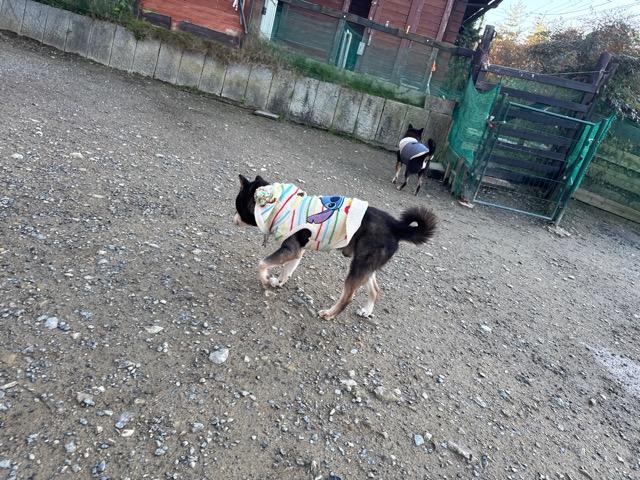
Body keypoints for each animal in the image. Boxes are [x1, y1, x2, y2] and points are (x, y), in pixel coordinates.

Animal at [233, 174, 437, 320]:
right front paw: (278, 281)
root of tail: (396, 226)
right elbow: (287, 269)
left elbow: (262, 264)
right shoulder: (297, 250)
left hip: (359, 266)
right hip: (366, 264)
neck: (275, 202)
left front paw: (266, 280)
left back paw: (330, 314)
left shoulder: (291, 248)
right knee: (375, 289)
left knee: (348, 296)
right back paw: (367, 310)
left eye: (237, 207)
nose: (233, 219)